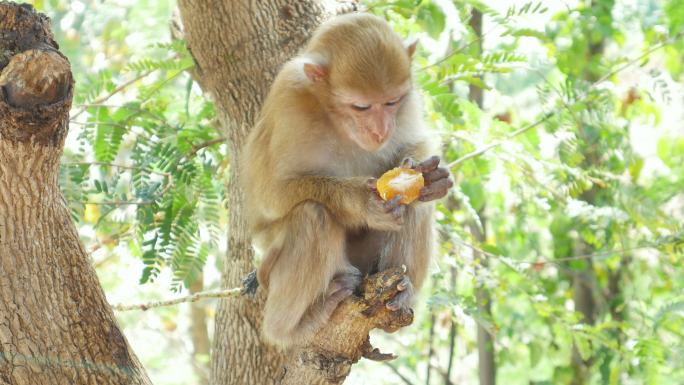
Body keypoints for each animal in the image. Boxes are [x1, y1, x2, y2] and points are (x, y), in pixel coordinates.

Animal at [240, 12, 454, 348]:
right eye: (361, 106)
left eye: (392, 102)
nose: (381, 131)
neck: (333, 118)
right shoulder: (288, 97)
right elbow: (270, 196)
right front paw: (360, 201)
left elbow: (415, 144)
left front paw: (432, 178)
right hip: (275, 266)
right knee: (311, 215)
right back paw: (290, 328)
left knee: (415, 206)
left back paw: (404, 292)